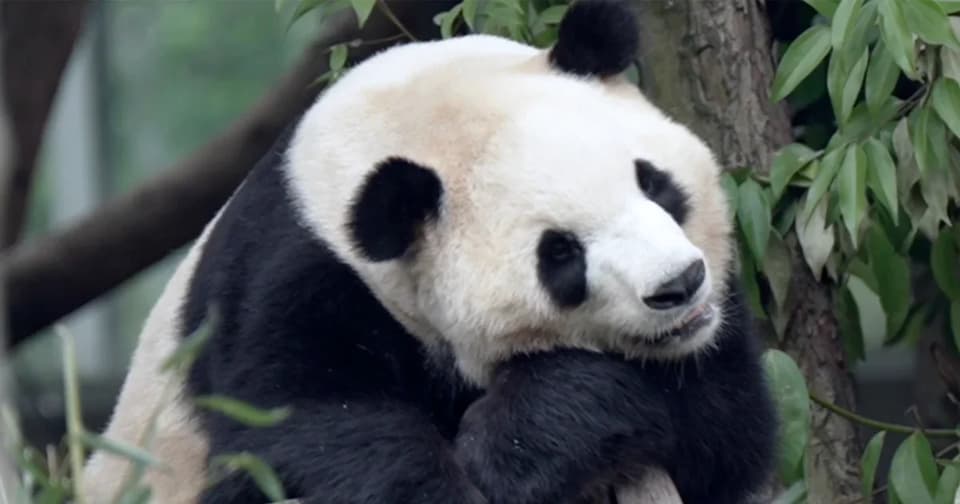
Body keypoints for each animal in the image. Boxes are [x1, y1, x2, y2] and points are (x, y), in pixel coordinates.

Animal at [81, 1, 777, 503]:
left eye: (653, 182)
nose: (679, 284)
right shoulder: (293, 278)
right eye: (561, 256)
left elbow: (720, 423)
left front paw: (515, 446)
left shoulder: (709, 338)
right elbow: (302, 428)